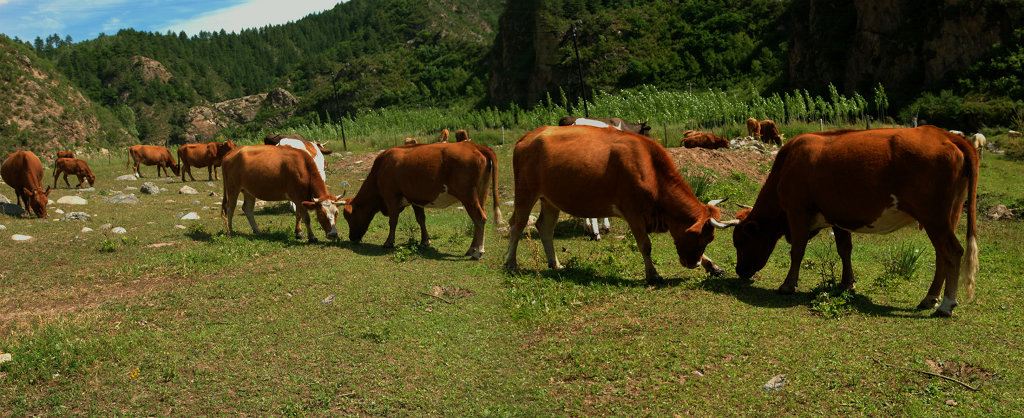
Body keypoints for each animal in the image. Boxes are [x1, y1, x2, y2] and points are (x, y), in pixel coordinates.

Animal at [344, 140, 503, 258]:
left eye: (349, 216)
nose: (351, 237)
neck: (380, 169)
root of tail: (475, 146)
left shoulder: (391, 197)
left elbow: (393, 221)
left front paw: (389, 242)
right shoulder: (416, 199)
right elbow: (421, 219)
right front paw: (425, 240)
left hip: (468, 197)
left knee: (480, 219)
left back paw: (478, 251)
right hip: (481, 195)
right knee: (477, 221)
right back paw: (471, 249)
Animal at [501, 124, 729, 284]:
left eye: (709, 239)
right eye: (698, 237)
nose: (693, 264)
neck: (650, 169)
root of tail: (529, 136)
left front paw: (712, 266)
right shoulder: (633, 213)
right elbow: (645, 245)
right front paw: (653, 274)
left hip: (550, 199)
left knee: (545, 227)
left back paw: (555, 264)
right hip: (525, 191)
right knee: (517, 225)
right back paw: (511, 263)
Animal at [733, 126, 978, 317]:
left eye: (740, 243)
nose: (739, 271)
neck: (787, 163)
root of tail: (943, 134)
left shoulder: (797, 212)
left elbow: (797, 250)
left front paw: (787, 285)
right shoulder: (837, 217)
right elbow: (844, 250)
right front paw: (847, 283)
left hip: (934, 217)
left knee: (952, 251)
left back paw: (946, 305)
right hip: (949, 216)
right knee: (941, 255)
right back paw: (930, 298)